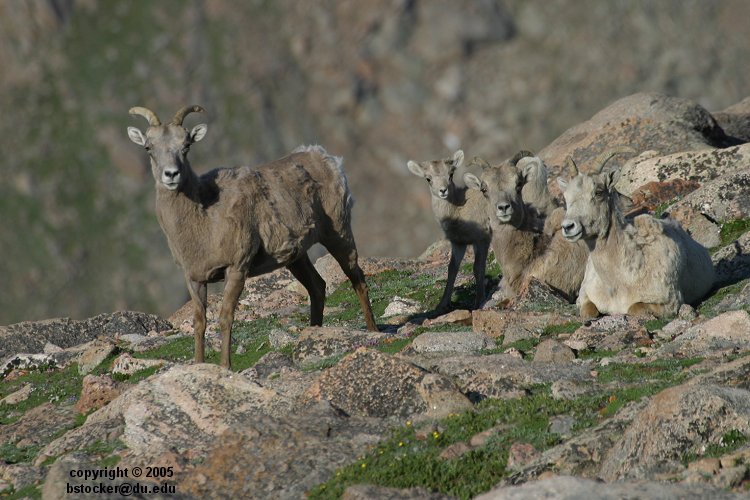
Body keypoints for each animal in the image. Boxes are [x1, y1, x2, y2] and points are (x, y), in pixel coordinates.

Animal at [127, 105, 378, 369]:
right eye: (148, 148)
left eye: (186, 146)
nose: (171, 174)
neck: (205, 216)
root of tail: (325, 158)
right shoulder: (194, 279)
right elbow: (200, 322)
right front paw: (199, 365)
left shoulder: (236, 268)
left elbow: (226, 317)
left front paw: (225, 367)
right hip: (296, 258)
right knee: (317, 287)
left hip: (338, 234)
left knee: (357, 279)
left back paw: (373, 331)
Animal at [407, 150, 492, 311]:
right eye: (428, 178)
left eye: (451, 174)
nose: (443, 191)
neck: (458, 209)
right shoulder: (458, 244)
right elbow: (452, 269)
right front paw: (442, 304)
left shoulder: (482, 240)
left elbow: (478, 268)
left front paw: (479, 302)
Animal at [558, 149, 715, 319]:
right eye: (566, 197)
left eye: (598, 192)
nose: (568, 227)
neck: (618, 282)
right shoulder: (585, 298)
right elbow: (588, 312)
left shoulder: (669, 303)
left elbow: (635, 308)